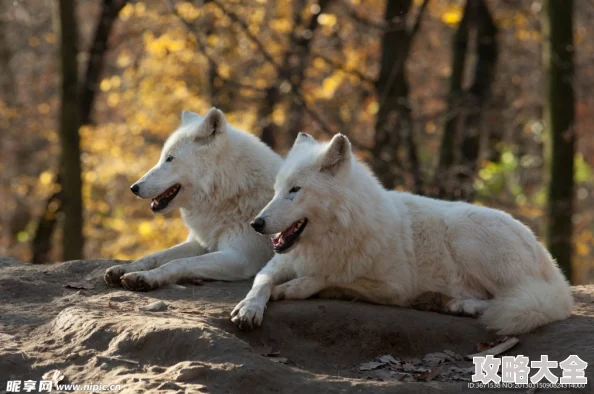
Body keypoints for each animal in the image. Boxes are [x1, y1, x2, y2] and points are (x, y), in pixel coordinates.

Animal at [104, 107, 280, 290]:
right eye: (162, 157)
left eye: (170, 158)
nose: (134, 188)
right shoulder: (200, 243)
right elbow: (155, 256)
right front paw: (125, 269)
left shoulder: (240, 257)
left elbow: (178, 263)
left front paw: (144, 278)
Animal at [229, 132, 572, 332]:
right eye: (276, 190)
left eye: (295, 190)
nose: (256, 224)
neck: (335, 236)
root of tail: (553, 267)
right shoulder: (278, 262)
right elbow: (260, 283)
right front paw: (249, 308)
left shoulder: (394, 288)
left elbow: (330, 278)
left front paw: (293, 288)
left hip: (464, 234)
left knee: (512, 300)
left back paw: (458, 305)